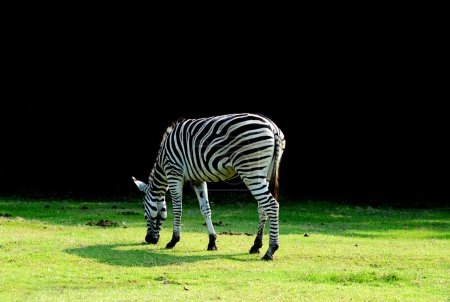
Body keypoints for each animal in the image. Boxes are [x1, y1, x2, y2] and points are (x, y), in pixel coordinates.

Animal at [133, 112, 284, 260]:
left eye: (145, 214)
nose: (149, 240)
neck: (164, 158)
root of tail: (272, 127)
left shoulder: (174, 173)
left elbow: (177, 209)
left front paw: (173, 240)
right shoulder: (198, 179)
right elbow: (205, 209)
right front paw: (212, 242)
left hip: (250, 170)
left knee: (272, 205)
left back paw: (270, 250)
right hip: (265, 173)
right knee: (262, 208)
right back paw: (256, 246)